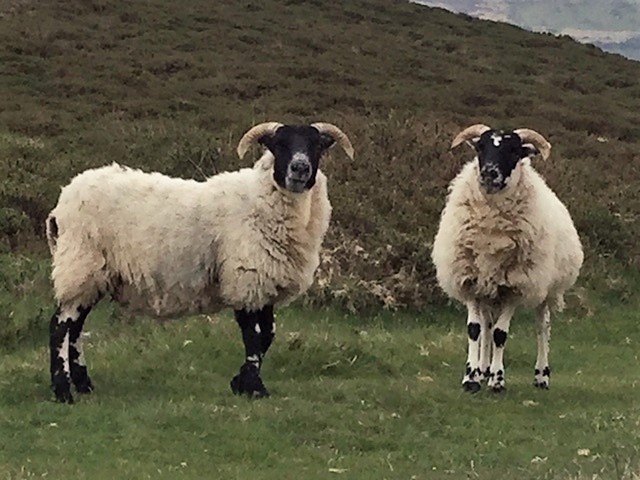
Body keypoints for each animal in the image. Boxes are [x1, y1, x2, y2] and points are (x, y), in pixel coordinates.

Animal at [45, 121, 354, 403]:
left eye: (316, 145)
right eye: (279, 144)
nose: (299, 168)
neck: (262, 198)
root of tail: (61, 202)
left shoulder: (263, 284)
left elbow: (268, 335)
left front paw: (240, 382)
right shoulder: (245, 278)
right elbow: (254, 337)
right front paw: (253, 388)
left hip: (93, 273)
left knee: (76, 328)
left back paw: (83, 384)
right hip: (79, 262)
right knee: (60, 326)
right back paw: (63, 391)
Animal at [431, 124, 583, 393]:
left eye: (513, 150)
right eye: (481, 147)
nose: (489, 173)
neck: (490, 231)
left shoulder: (515, 286)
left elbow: (501, 334)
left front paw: (497, 379)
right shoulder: (471, 283)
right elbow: (475, 330)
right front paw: (472, 377)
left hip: (545, 289)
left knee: (542, 328)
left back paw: (541, 376)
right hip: (489, 292)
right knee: (487, 327)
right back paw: (483, 369)